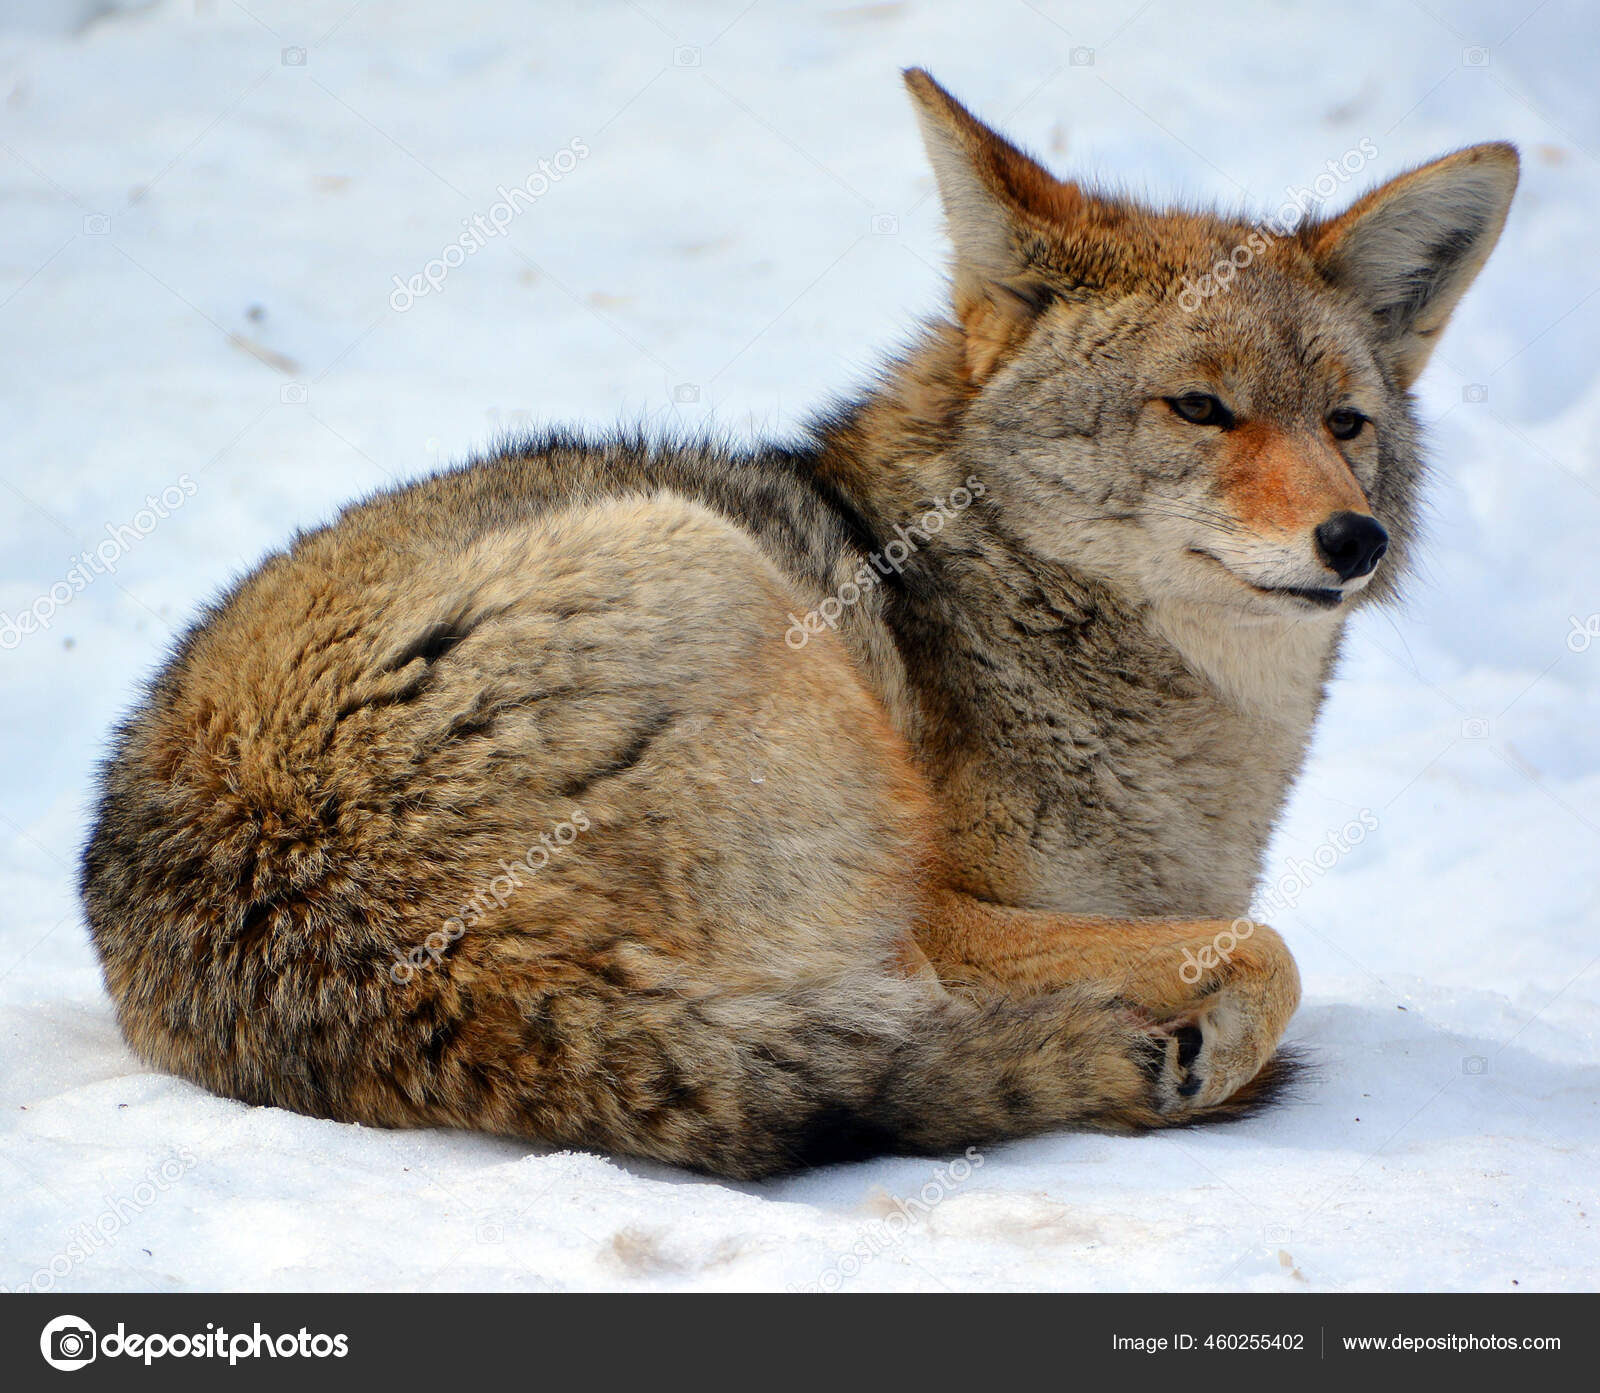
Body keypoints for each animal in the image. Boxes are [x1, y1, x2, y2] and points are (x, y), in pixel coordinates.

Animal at [80, 70, 1517, 1178]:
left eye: (1345, 423)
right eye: (1201, 409)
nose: (1354, 540)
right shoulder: (954, 906)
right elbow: (1268, 947)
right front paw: (1199, 1042)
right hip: (715, 575)